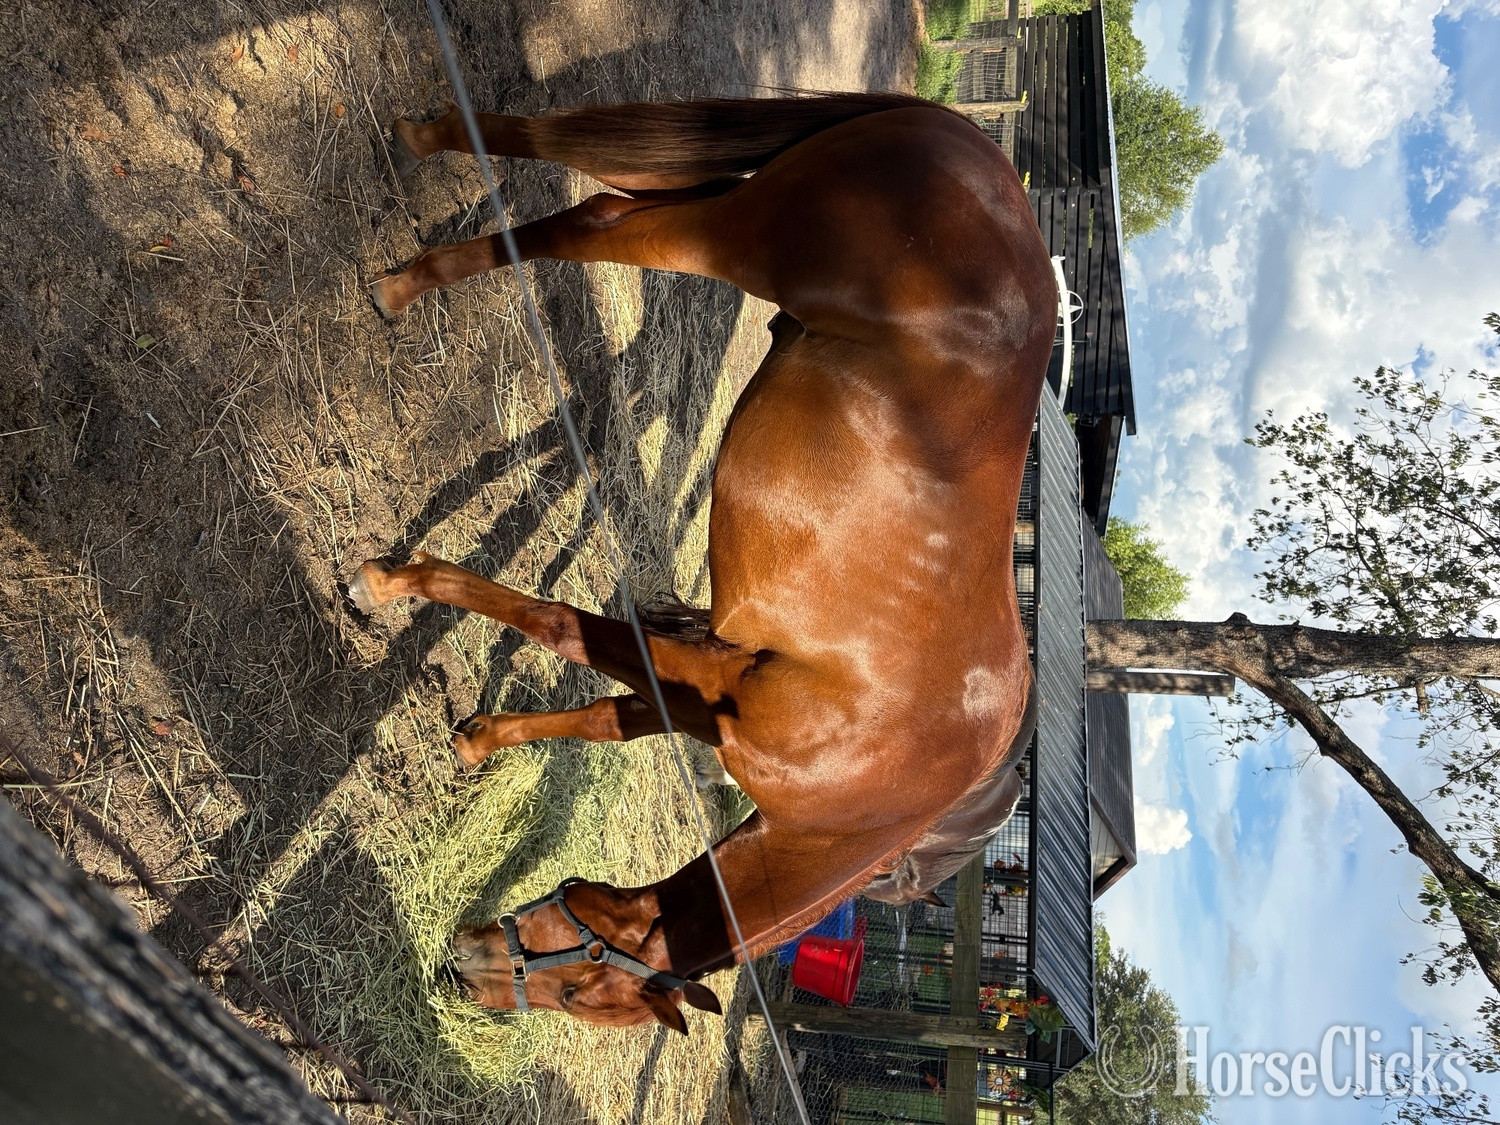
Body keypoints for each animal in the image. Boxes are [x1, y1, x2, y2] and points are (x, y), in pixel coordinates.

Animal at [349, 92, 1055, 1035]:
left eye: (581, 993)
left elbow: (597, 716)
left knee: (590, 198)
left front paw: (483, 739)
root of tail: (968, 143)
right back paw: (406, 271)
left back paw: (425, 159)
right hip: (730, 231)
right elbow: (553, 622)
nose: (463, 967)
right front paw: (392, 581)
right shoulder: (695, 673)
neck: (873, 787)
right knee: (593, 222)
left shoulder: (690, 695)